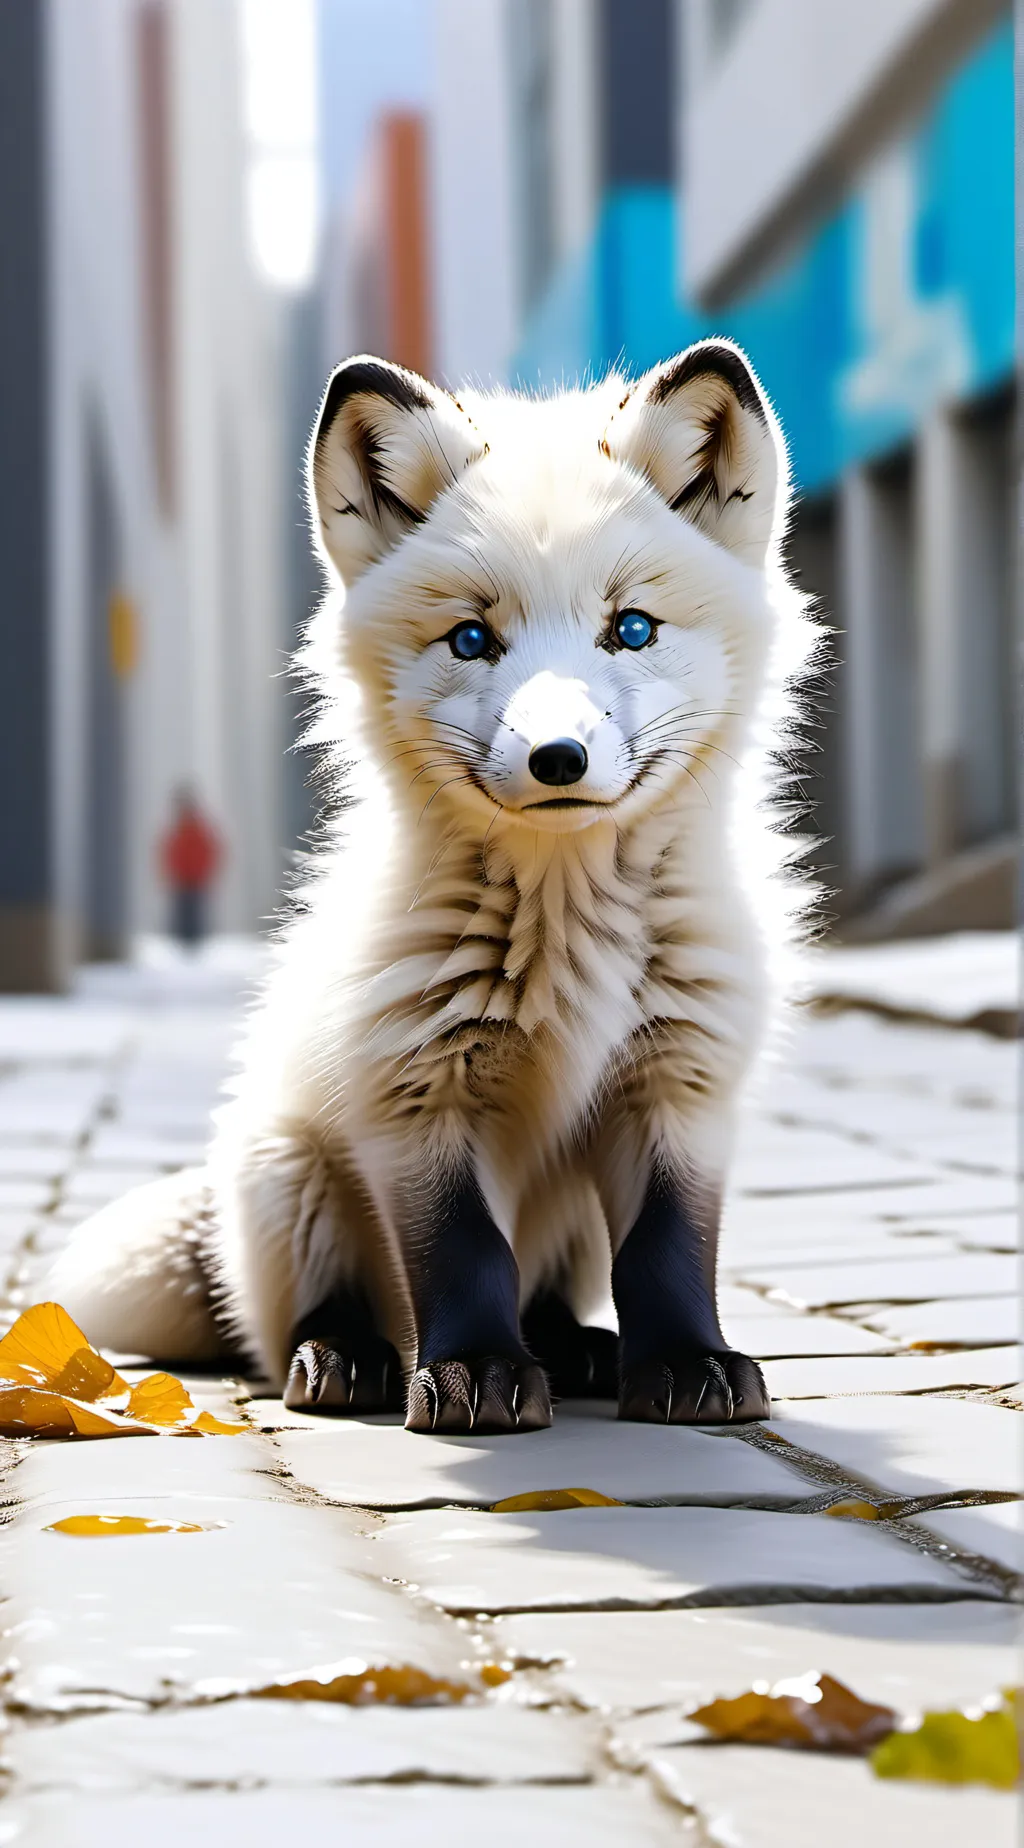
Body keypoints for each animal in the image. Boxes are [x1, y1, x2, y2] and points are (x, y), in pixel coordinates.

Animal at [49, 340, 814, 1434]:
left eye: (631, 630)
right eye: (470, 640)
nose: (557, 759)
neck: (566, 933)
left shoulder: (679, 1086)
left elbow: (669, 1253)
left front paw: (685, 1363)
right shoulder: (413, 1096)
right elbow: (460, 1254)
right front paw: (474, 1374)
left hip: (567, 1223)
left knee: (554, 1295)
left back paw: (576, 1350)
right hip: (292, 1176)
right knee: (301, 1319)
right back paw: (347, 1358)